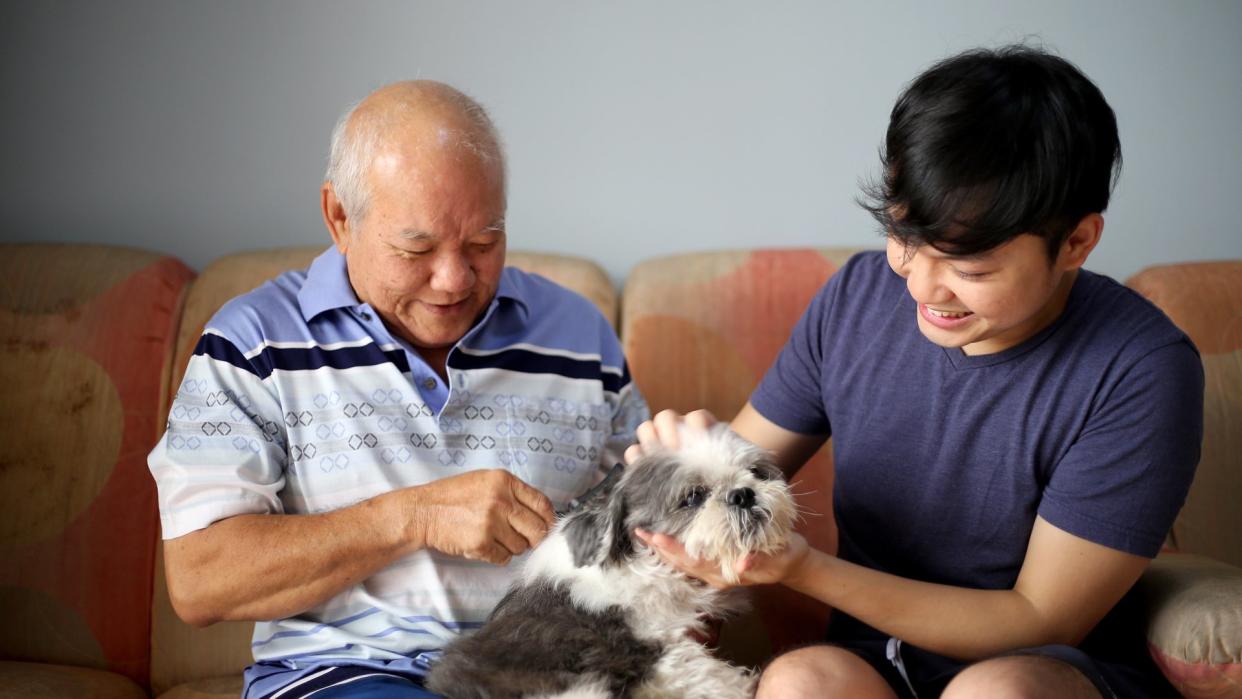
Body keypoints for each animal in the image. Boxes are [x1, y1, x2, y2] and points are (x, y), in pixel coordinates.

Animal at [424, 424, 794, 699]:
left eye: (756, 472)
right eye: (693, 497)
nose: (743, 494)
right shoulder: (639, 646)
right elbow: (698, 670)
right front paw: (742, 683)